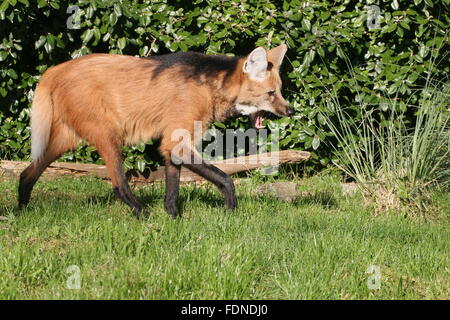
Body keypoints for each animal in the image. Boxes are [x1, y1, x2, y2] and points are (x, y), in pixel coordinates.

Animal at [18, 44, 292, 218]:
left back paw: (22, 209)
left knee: (27, 172)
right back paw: (141, 213)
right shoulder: (177, 141)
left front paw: (173, 217)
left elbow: (172, 188)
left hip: (66, 139)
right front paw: (231, 210)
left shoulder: (174, 142)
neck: (211, 86)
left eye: (278, 91)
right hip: (108, 135)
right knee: (118, 184)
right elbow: (225, 178)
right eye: (271, 93)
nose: (289, 110)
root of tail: (55, 69)